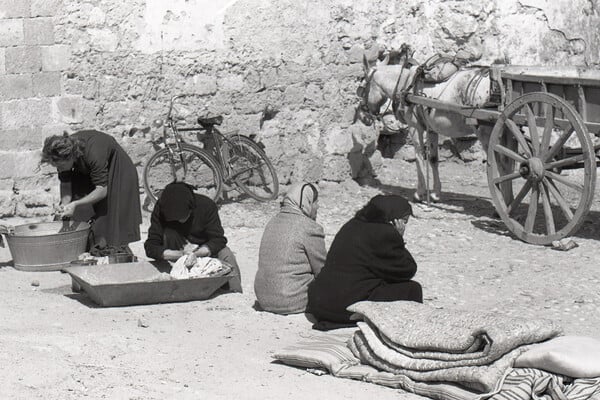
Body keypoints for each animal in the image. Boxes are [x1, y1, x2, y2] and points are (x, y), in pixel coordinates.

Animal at [356, 48, 492, 202]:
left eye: (361, 88)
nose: (362, 116)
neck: (405, 84)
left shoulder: (415, 128)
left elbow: (419, 156)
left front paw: (420, 192)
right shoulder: (432, 129)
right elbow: (433, 159)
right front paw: (436, 193)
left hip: (487, 134)